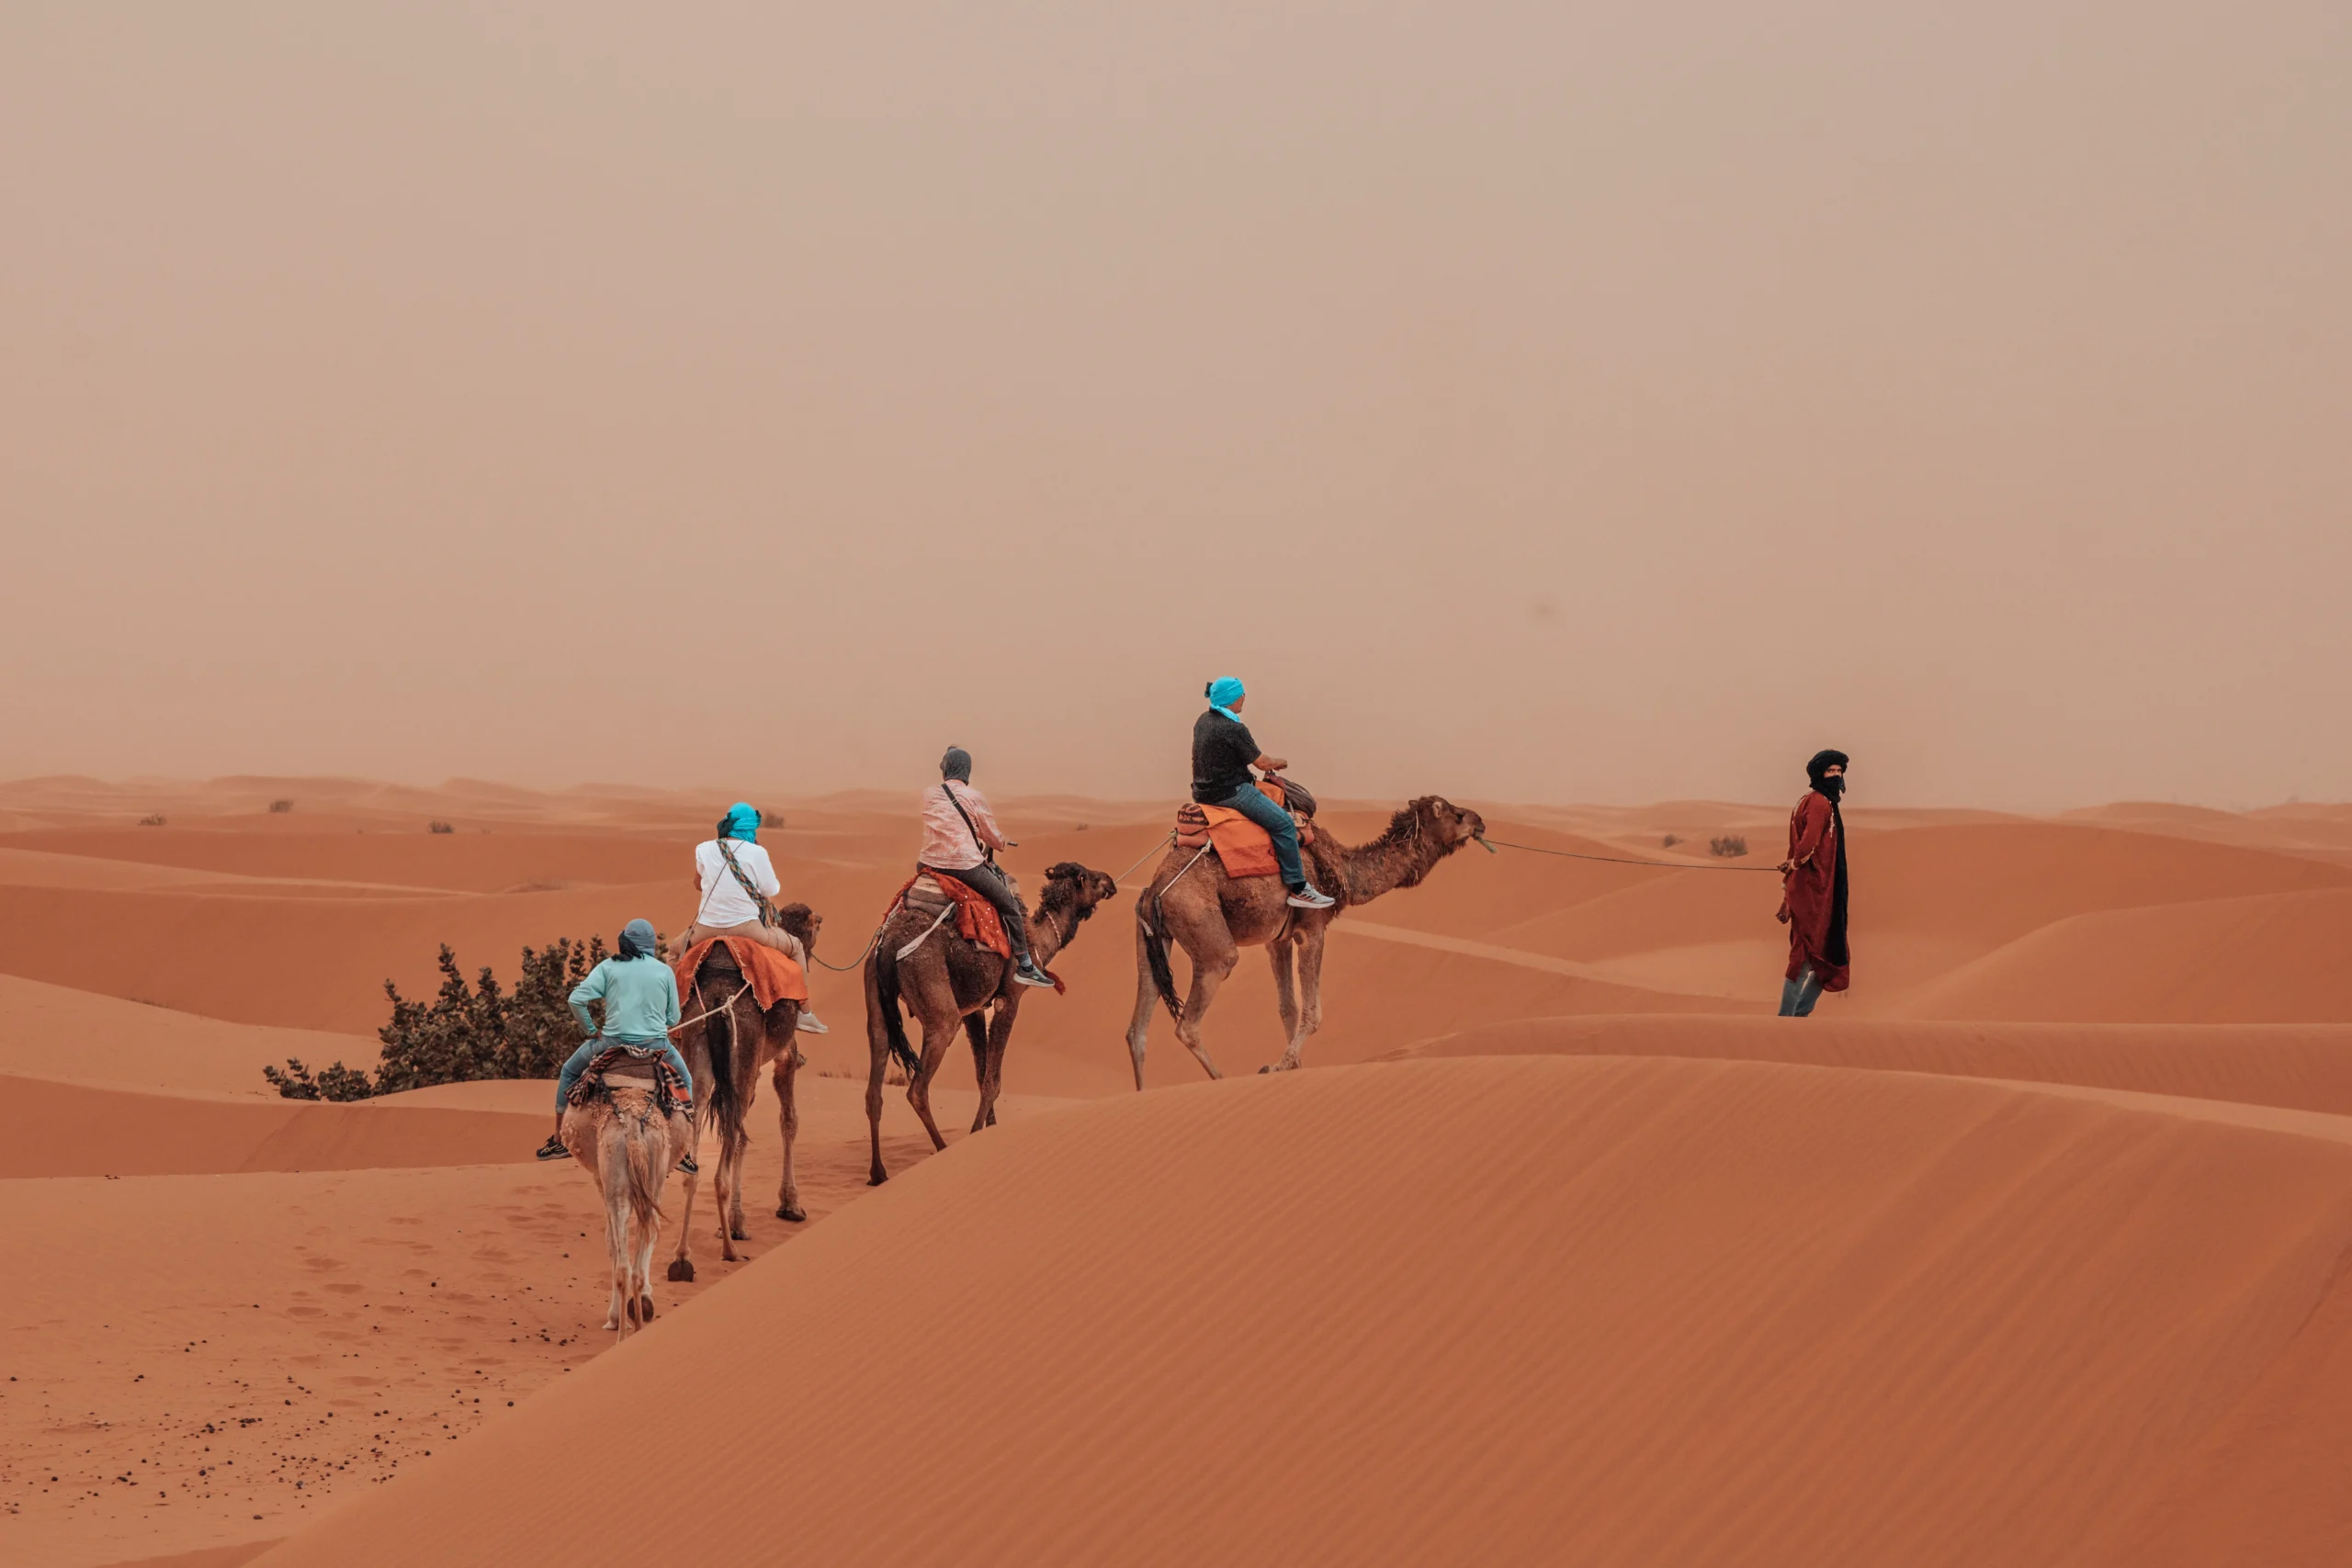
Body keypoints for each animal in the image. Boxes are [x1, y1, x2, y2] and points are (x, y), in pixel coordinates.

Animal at [561, 1072, 686, 1344]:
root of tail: (634, 1129)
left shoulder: (601, 1181)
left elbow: (611, 1243)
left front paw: (614, 1317)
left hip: (616, 1183)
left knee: (623, 1266)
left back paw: (621, 1337)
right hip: (654, 1175)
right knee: (638, 1263)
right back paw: (638, 1326)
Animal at [662, 902, 818, 1279]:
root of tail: (720, 994)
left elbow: (747, 1135)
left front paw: (734, 1222)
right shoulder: (783, 1054)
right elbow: (789, 1120)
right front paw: (789, 1204)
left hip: (700, 1055)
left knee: (704, 1140)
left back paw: (682, 1257)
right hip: (743, 1049)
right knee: (731, 1140)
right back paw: (729, 1251)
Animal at [865, 864, 1119, 1184]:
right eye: (1092, 878)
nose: (1111, 882)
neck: (1037, 940)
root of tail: (891, 944)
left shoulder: (973, 1009)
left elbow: (981, 1073)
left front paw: (990, 1131)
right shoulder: (1008, 999)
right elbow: (993, 1081)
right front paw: (976, 1133)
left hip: (876, 999)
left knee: (874, 1083)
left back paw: (878, 1173)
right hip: (938, 1004)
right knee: (917, 1089)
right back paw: (942, 1150)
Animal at [1124, 789, 1486, 1086]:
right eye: (1455, 813)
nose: (1480, 822)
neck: (1343, 873)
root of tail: (1156, 888)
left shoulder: (1277, 939)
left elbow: (1289, 1008)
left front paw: (1293, 1069)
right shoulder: (1312, 930)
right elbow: (1313, 1014)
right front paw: (1274, 1067)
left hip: (1151, 938)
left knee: (1137, 1028)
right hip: (1206, 934)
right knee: (1188, 1023)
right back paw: (1221, 1079)